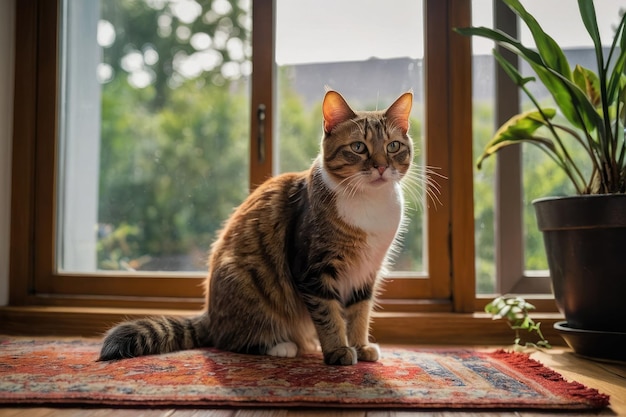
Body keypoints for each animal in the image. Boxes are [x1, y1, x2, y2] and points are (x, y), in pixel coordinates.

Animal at [100, 88, 412, 364]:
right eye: (358, 147)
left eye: (393, 146)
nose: (381, 167)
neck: (369, 204)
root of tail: (210, 314)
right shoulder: (314, 269)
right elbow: (329, 315)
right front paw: (338, 351)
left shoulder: (366, 272)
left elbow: (359, 313)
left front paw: (360, 346)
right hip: (246, 281)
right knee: (231, 340)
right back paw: (282, 346)